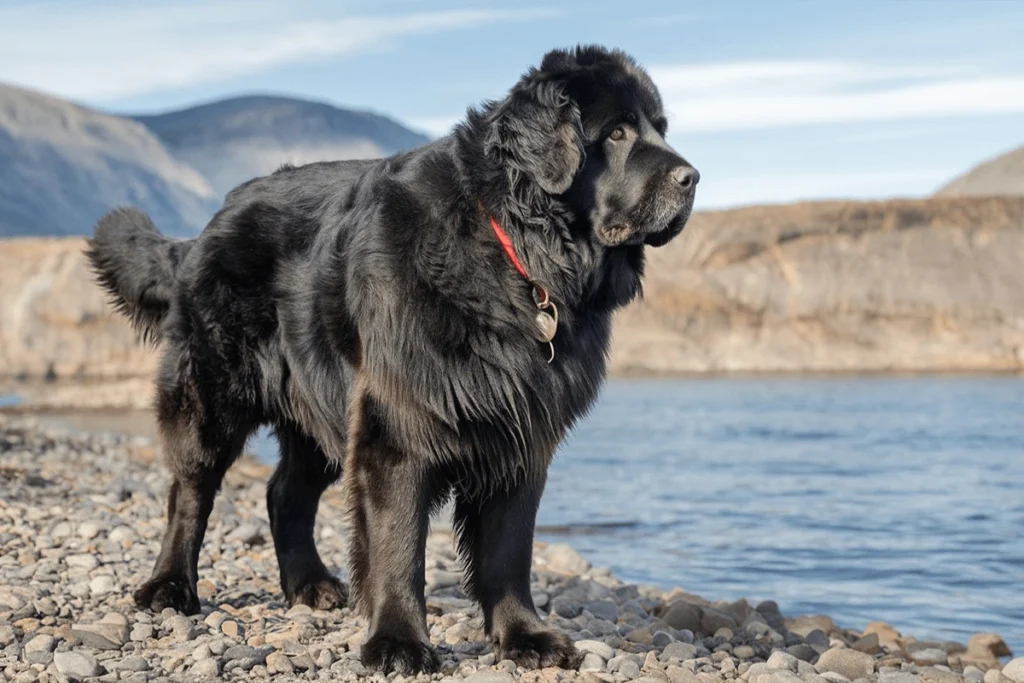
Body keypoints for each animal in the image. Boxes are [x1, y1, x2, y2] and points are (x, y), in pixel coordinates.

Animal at [88, 45, 700, 675]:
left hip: (320, 403)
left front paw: (525, 638)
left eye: (661, 128)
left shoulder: (521, 433)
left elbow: (509, 551)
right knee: (191, 490)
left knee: (285, 492)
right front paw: (399, 641)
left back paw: (310, 586)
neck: (515, 252)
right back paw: (169, 587)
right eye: (618, 132)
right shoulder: (400, 424)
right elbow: (399, 542)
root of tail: (210, 223)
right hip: (212, 392)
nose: (692, 177)